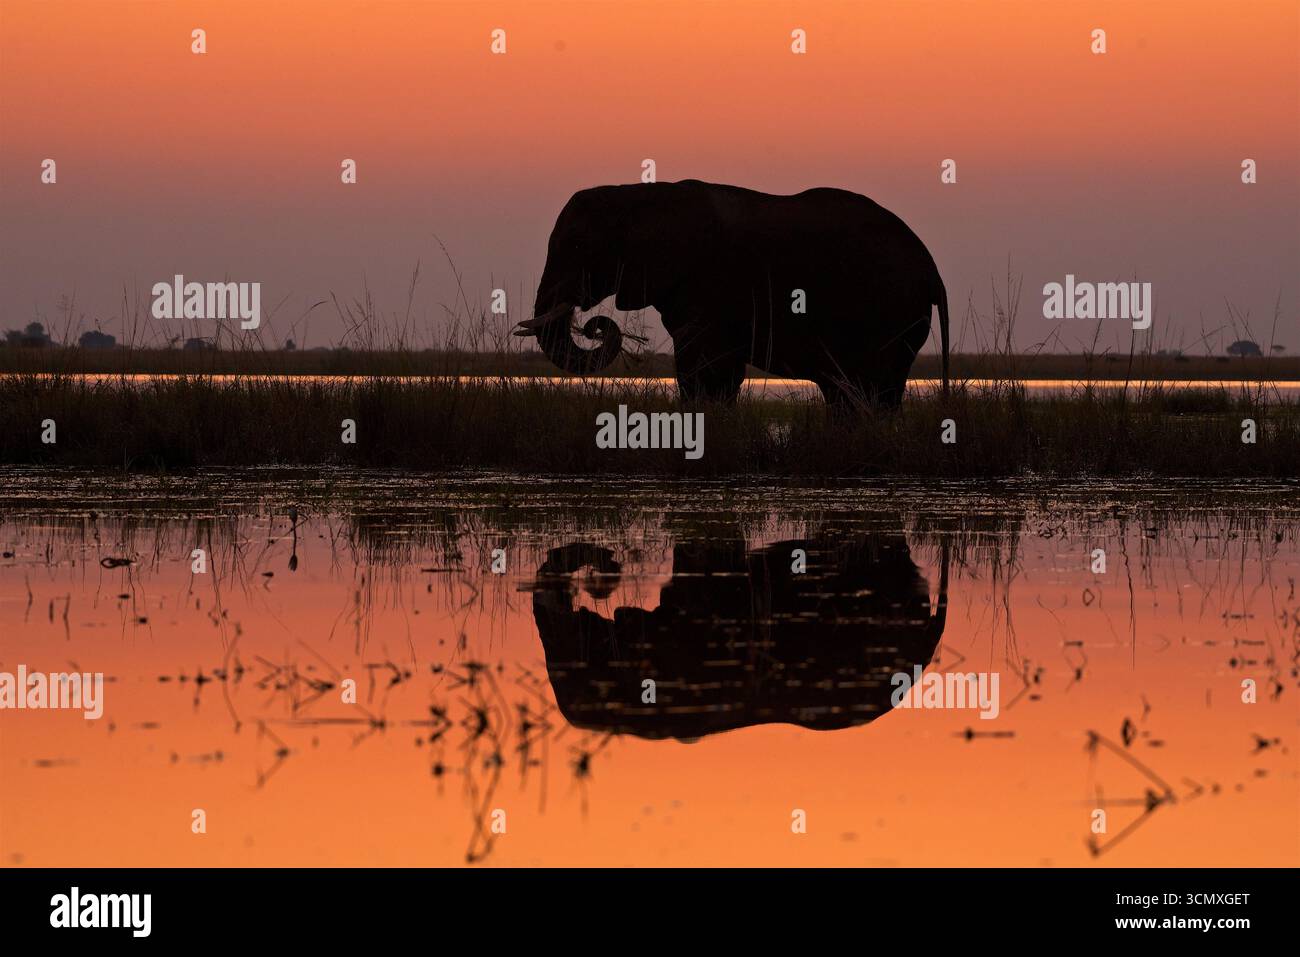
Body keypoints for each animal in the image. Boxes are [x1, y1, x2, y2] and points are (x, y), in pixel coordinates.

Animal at [514, 179, 949, 407]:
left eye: (575, 247)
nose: (594, 325)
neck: (636, 195)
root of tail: (932, 270)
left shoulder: (708, 286)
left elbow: (706, 369)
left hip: (891, 314)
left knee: (872, 389)